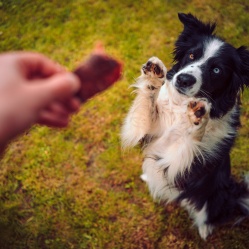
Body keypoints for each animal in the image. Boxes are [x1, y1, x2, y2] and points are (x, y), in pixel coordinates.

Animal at [121, 13, 249, 239]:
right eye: (191, 55)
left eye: (217, 70)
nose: (184, 79)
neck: (181, 109)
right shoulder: (145, 132)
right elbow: (144, 105)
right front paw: (153, 76)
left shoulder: (178, 164)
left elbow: (190, 140)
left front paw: (199, 114)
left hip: (213, 197)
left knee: (207, 214)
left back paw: (204, 229)